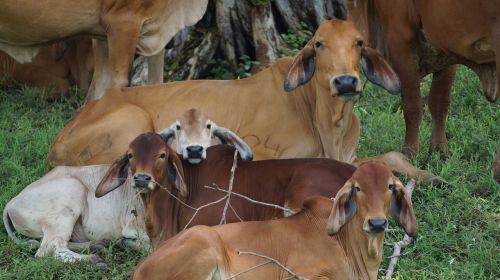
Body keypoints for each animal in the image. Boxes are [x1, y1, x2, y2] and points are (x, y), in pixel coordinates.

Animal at [49, 19, 442, 184]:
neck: (328, 122)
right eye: (318, 44)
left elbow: (389, 156)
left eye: (360, 43)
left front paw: (430, 176)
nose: (346, 81)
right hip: (133, 118)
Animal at [131, 160, 416, 280]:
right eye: (357, 188)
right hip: (204, 241)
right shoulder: (299, 275)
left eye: (390, 186)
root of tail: (139, 269)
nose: (377, 224)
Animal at [346, 0, 498, 158]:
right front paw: (439, 152)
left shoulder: (400, 40)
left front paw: (409, 153)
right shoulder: (446, 49)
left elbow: (412, 107)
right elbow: (440, 102)